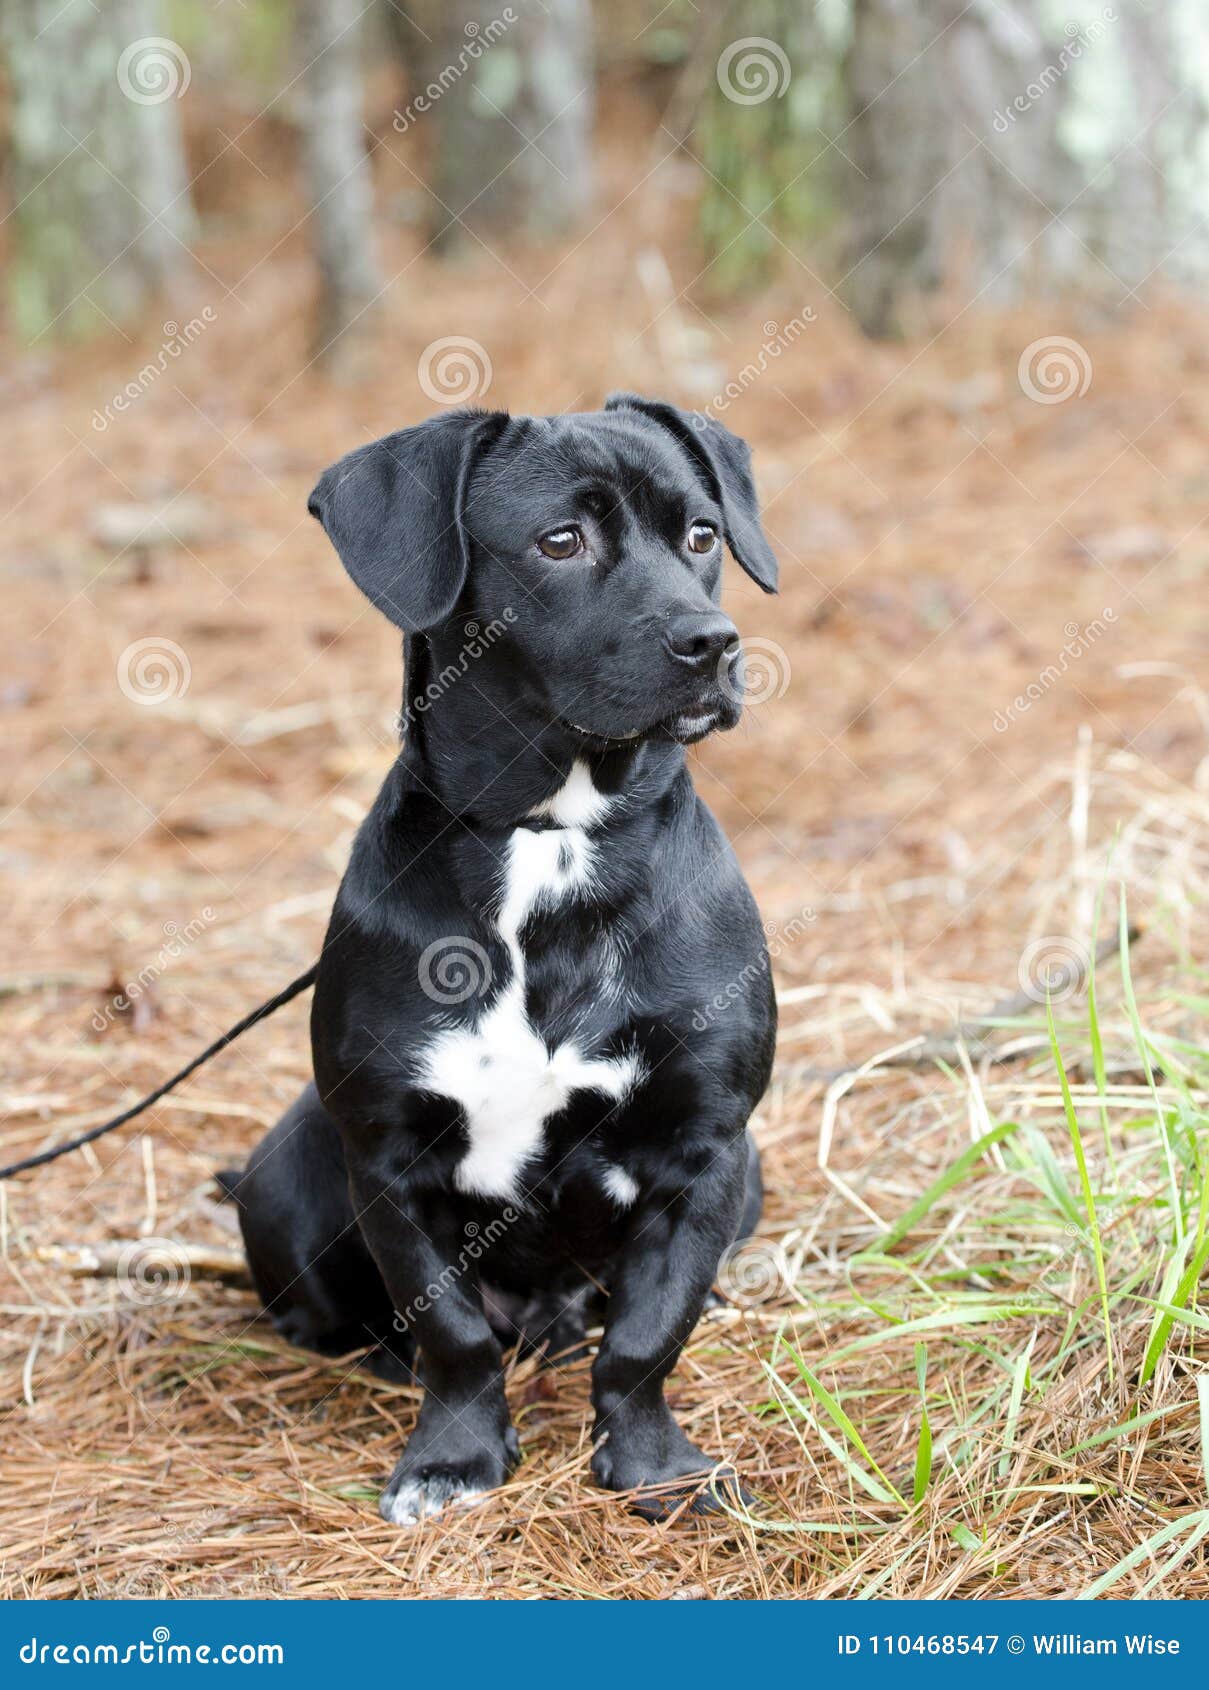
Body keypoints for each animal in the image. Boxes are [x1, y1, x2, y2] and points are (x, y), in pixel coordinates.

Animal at [226, 398, 774, 1534]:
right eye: (559, 542)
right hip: (282, 1176)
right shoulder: (391, 1161)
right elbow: (455, 1335)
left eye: (702, 534)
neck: (550, 837)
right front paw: (455, 1457)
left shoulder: (704, 1151)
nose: (714, 644)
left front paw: (657, 1467)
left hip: (750, 1177)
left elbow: (646, 1339)